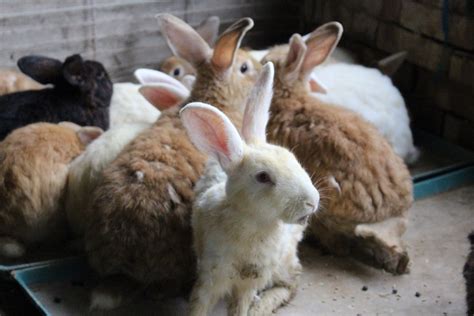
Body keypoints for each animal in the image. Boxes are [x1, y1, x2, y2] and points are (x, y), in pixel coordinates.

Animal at [183, 62, 320, 316]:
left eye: (293, 158)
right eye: (263, 177)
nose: (312, 202)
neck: (254, 224)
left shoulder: (248, 283)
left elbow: (240, 307)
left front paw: (249, 309)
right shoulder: (210, 277)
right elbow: (199, 306)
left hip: (282, 263)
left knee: (291, 283)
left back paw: (261, 306)